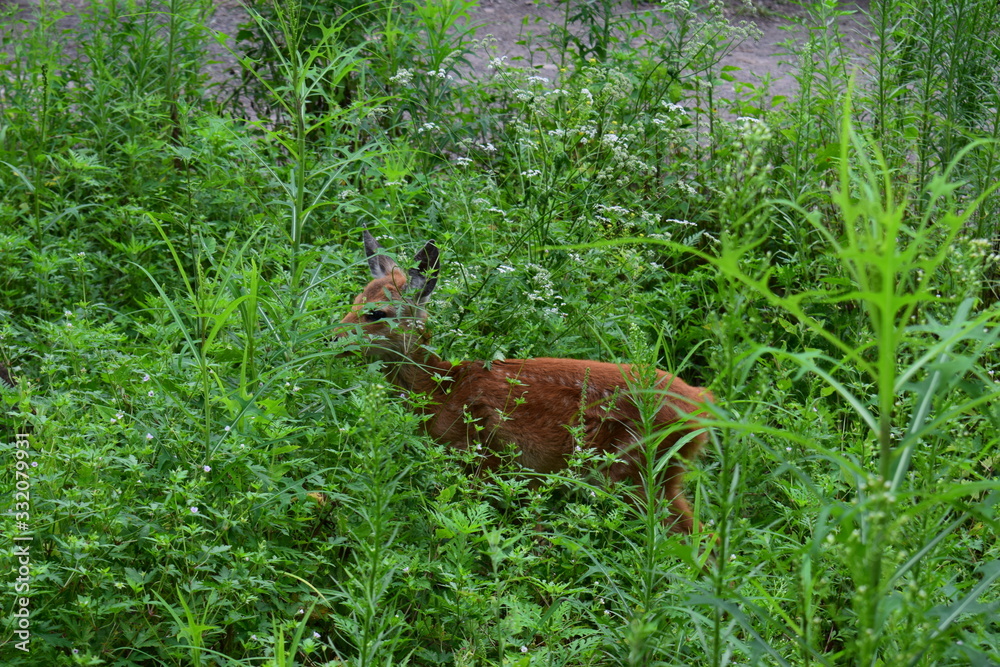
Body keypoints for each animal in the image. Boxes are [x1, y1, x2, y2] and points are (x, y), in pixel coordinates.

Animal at [338, 230, 713, 534]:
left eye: (376, 313)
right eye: (355, 301)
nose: (332, 338)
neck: (441, 390)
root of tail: (703, 404)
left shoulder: (481, 457)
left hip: (635, 469)